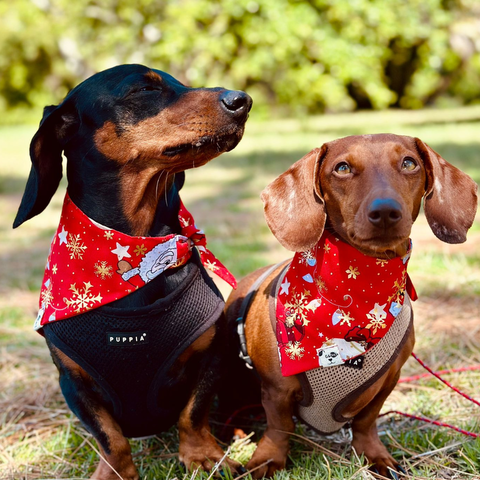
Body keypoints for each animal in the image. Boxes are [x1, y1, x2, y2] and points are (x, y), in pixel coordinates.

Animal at [14, 64, 251, 480]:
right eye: (143, 88)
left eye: (180, 82)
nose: (243, 100)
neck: (137, 258)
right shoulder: (73, 383)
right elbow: (111, 436)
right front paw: (113, 472)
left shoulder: (212, 355)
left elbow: (194, 413)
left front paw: (203, 456)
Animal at [224, 133, 476, 478]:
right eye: (342, 168)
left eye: (409, 163)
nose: (386, 212)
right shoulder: (276, 389)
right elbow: (278, 427)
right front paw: (267, 461)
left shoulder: (386, 383)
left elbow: (367, 423)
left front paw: (375, 456)